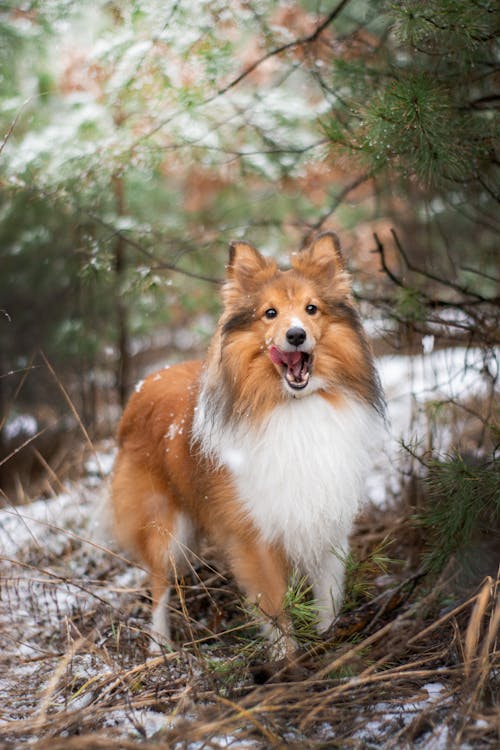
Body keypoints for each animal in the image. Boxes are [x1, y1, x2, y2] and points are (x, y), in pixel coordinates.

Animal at [111, 235, 384, 656]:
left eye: (311, 309)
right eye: (269, 313)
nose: (296, 335)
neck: (292, 407)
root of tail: (146, 383)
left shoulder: (325, 519)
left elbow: (329, 595)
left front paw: (330, 640)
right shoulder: (253, 534)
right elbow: (274, 607)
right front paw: (288, 661)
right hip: (164, 528)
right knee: (158, 584)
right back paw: (159, 647)